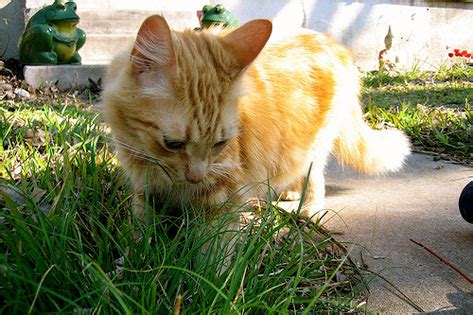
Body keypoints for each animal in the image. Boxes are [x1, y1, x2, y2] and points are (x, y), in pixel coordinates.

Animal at [102, 14, 410, 222]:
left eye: (220, 144)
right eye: (173, 144)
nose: (195, 177)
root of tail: (335, 44)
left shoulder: (223, 195)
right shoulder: (145, 191)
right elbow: (141, 236)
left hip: (314, 146)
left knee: (316, 178)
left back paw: (306, 208)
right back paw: (291, 192)